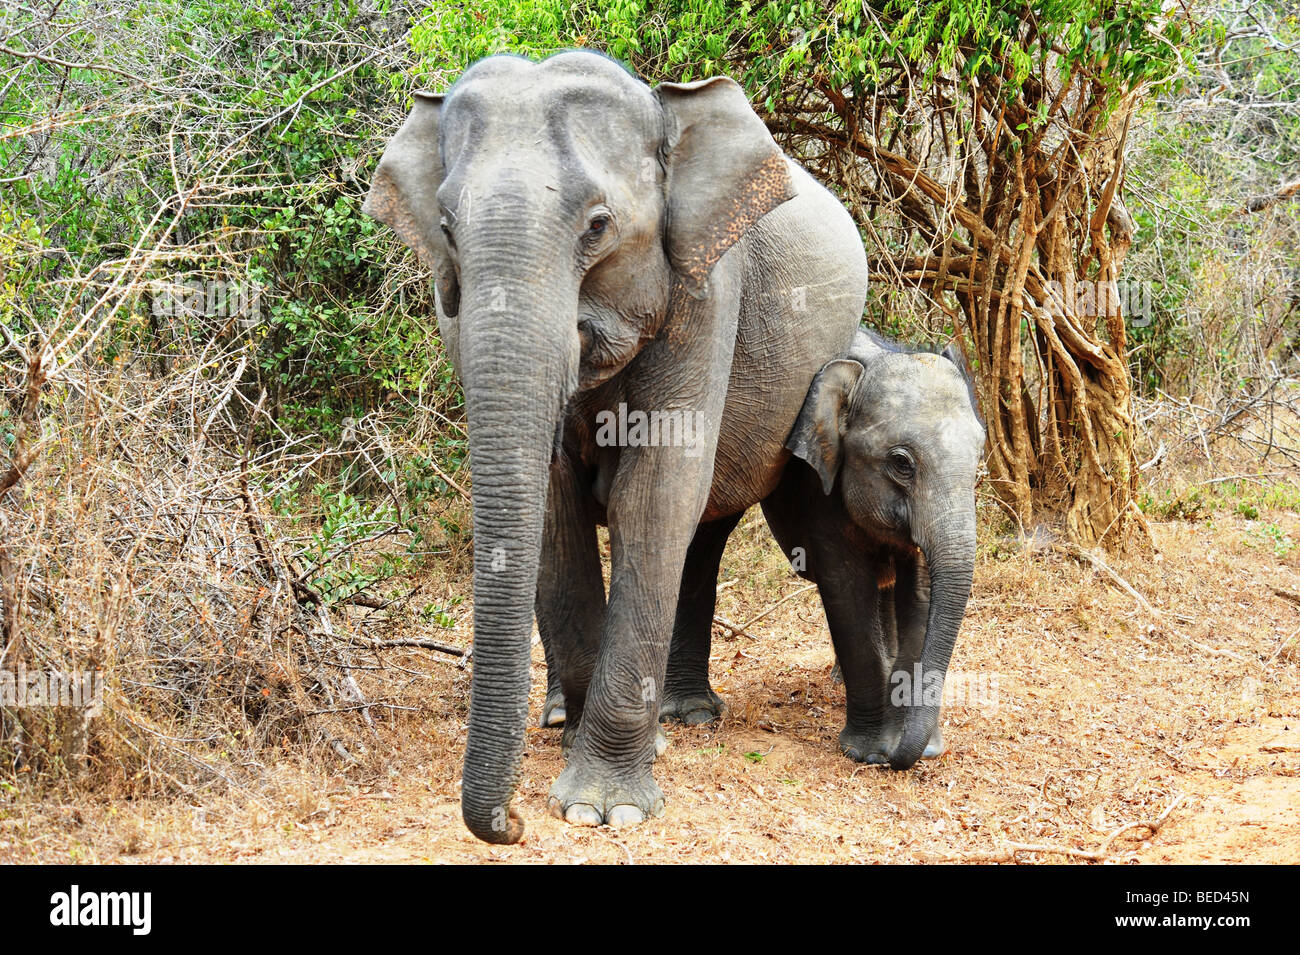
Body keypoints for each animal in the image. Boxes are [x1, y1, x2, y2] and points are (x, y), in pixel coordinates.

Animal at [364, 50, 863, 841]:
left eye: (598, 226)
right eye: (445, 226)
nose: (512, 821)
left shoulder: (704, 291)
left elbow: (652, 496)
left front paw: (605, 806)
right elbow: (552, 506)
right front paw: (577, 750)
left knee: (700, 526)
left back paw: (682, 718)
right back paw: (572, 716)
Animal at [660, 328, 982, 769]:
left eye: (979, 455)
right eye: (901, 463)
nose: (903, 756)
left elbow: (919, 593)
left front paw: (916, 746)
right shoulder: (816, 482)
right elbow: (846, 586)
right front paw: (870, 752)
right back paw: (694, 713)